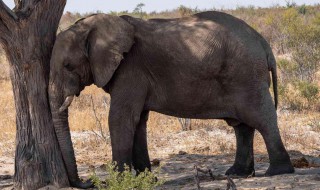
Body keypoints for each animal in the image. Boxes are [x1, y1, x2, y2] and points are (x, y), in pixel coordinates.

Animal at [48, 11, 296, 188]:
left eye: (68, 66)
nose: (87, 183)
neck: (93, 26)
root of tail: (264, 43)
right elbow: (138, 121)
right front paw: (146, 179)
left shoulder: (131, 69)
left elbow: (121, 118)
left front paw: (117, 182)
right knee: (242, 126)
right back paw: (238, 173)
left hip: (246, 74)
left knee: (261, 118)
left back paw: (278, 171)